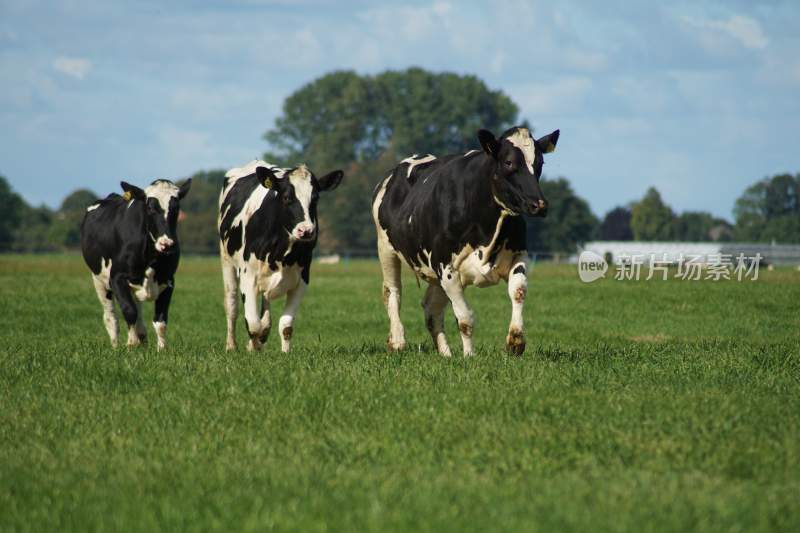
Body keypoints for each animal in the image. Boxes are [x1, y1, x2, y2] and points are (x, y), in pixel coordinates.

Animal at [79, 178, 192, 350]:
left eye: (176, 207)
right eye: (150, 208)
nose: (167, 244)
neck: (151, 258)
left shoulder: (168, 280)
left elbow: (160, 319)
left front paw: (162, 349)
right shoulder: (117, 278)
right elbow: (129, 311)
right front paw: (131, 343)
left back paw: (142, 338)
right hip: (99, 280)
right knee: (111, 317)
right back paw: (116, 345)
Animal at [219, 158, 344, 352]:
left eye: (315, 198)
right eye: (286, 197)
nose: (306, 230)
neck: (281, 252)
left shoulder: (302, 280)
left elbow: (286, 326)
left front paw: (284, 352)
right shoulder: (248, 276)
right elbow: (253, 324)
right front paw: (254, 347)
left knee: (265, 304)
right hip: (227, 261)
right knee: (232, 306)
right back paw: (231, 345)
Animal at [372, 126, 560, 356]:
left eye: (540, 162)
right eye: (508, 162)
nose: (539, 204)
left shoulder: (518, 254)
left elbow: (518, 291)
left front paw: (515, 341)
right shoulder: (447, 268)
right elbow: (465, 319)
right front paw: (470, 356)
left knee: (431, 308)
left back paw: (445, 354)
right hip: (386, 248)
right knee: (392, 291)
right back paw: (398, 341)